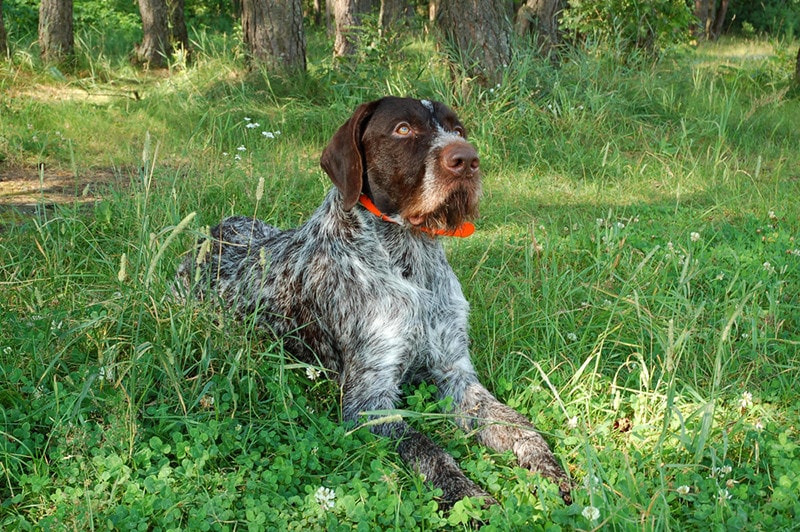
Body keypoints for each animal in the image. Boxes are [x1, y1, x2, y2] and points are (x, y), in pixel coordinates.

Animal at [178, 96, 572, 508]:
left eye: (458, 130)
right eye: (403, 129)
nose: (467, 158)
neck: (411, 257)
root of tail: (209, 237)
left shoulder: (456, 375)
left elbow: (516, 423)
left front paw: (547, 466)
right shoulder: (368, 401)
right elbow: (427, 448)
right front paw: (466, 496)